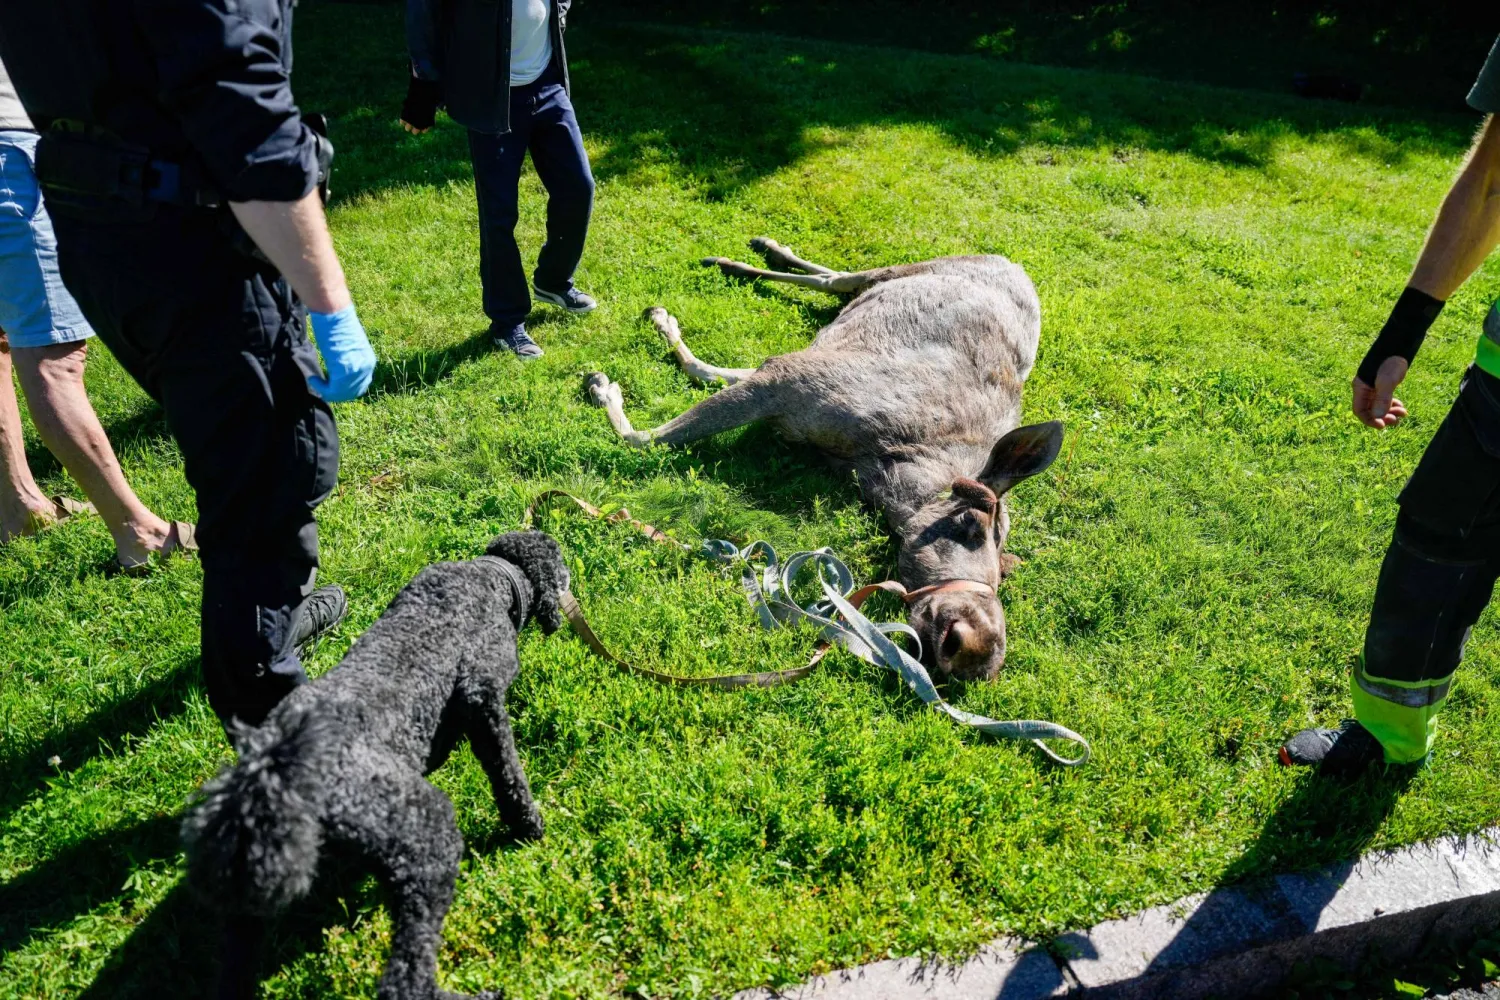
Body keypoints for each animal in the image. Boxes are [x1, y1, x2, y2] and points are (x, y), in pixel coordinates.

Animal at [584, 238, 1063, 681]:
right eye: (969, 524)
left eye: (1006, 568)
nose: (976, 650)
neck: (887, 464)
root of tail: (1012, 263)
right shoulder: (790, 377)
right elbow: (644, 438)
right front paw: (607, 385)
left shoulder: (785, 383)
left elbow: (706, 376)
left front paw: (661, 333)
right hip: (908, 269)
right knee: (837, 279)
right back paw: (742, 257)